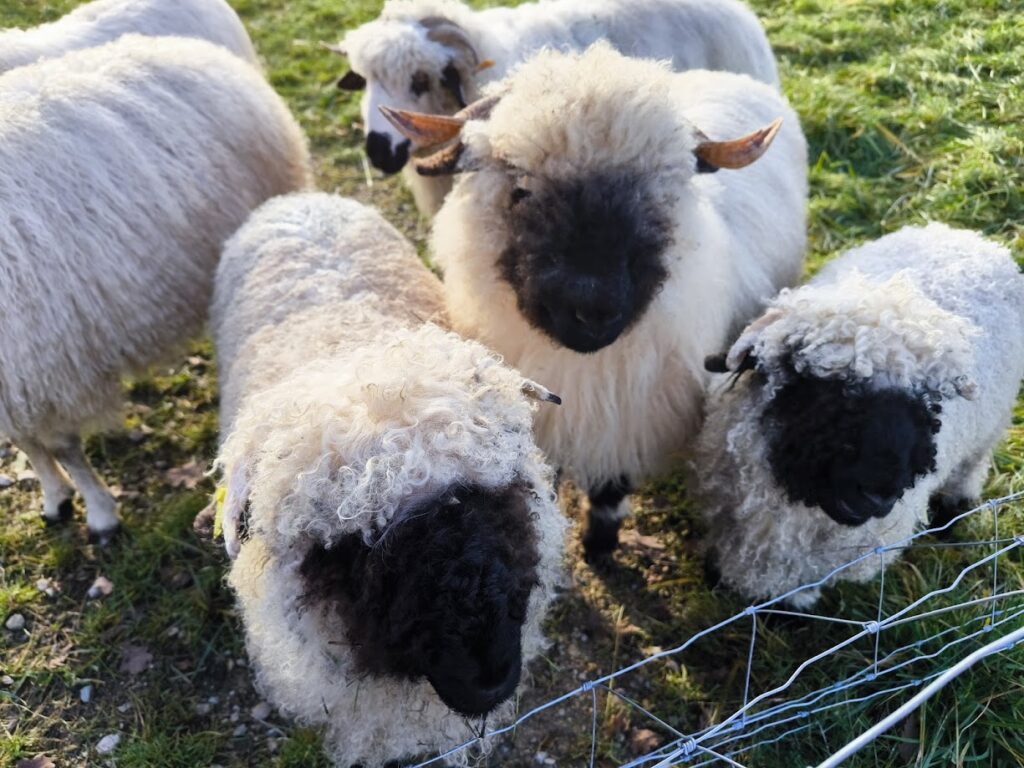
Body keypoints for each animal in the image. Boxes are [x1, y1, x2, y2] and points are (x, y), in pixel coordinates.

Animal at [0, 35, 311, 543]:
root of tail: (195, 50)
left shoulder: (47, 366)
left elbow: (63, 447)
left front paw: (100, 512)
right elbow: (27, 443)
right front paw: (54, 497)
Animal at [382, 42, 808, 559]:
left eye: (658, 197)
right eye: (520, 188)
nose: (592, 310)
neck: (582, 370)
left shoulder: (627, 420)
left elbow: (611, 486)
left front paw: (600, 542)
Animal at [693, 223, 1024, 608]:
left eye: (932, 403)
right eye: (820, 390)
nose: (880, 494)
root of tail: (966, 236)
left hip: (988, 430)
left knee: (970, 468)